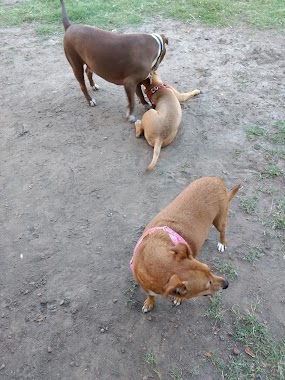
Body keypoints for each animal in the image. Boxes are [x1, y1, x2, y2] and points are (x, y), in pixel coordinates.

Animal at [129, 177, 240, 314]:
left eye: (209, 270)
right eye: (208, 284)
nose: (226, 283)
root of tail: (217, 179)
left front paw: (179, 298)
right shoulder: (146, 285)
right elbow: (150, 294)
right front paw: (149, 302)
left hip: (219, 220)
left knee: (223, 231)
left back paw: (222, 243)